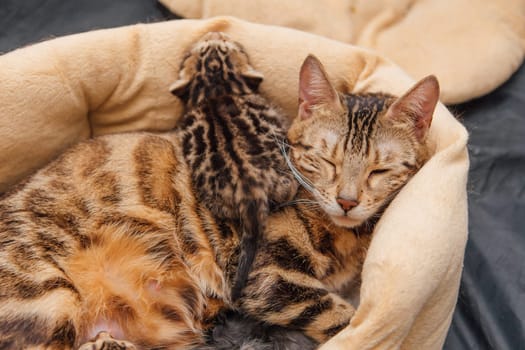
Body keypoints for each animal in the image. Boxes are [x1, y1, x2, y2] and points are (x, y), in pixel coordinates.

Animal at [170, 32, 296, 300]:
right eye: (237, 46)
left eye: (228, 46)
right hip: (283, 180)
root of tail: (250, 190)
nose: (214, 31)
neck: (216, 88)